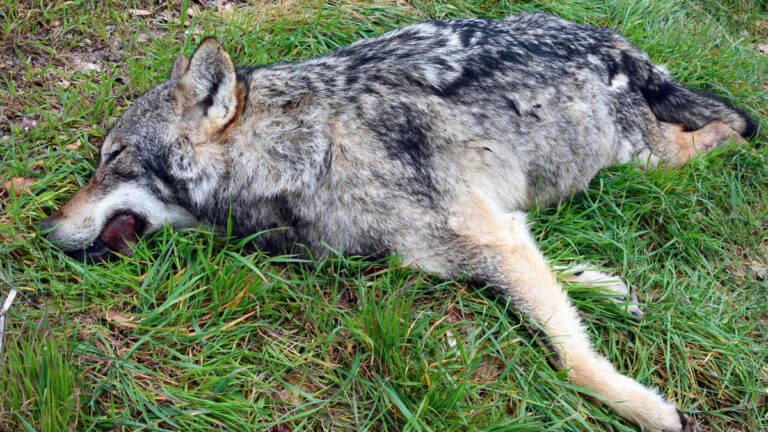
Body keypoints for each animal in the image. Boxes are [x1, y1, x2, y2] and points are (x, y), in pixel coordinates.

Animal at [41, 12, 756, 431]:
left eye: (113, 159)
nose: (46, 232)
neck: (302, 153)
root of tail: (611, 38)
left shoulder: (486, 235)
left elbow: (572, 359)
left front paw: (645, 409)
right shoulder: (478, 238)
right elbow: (551, 285)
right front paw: (603, 287)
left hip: (644, 158)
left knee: (727, 131)